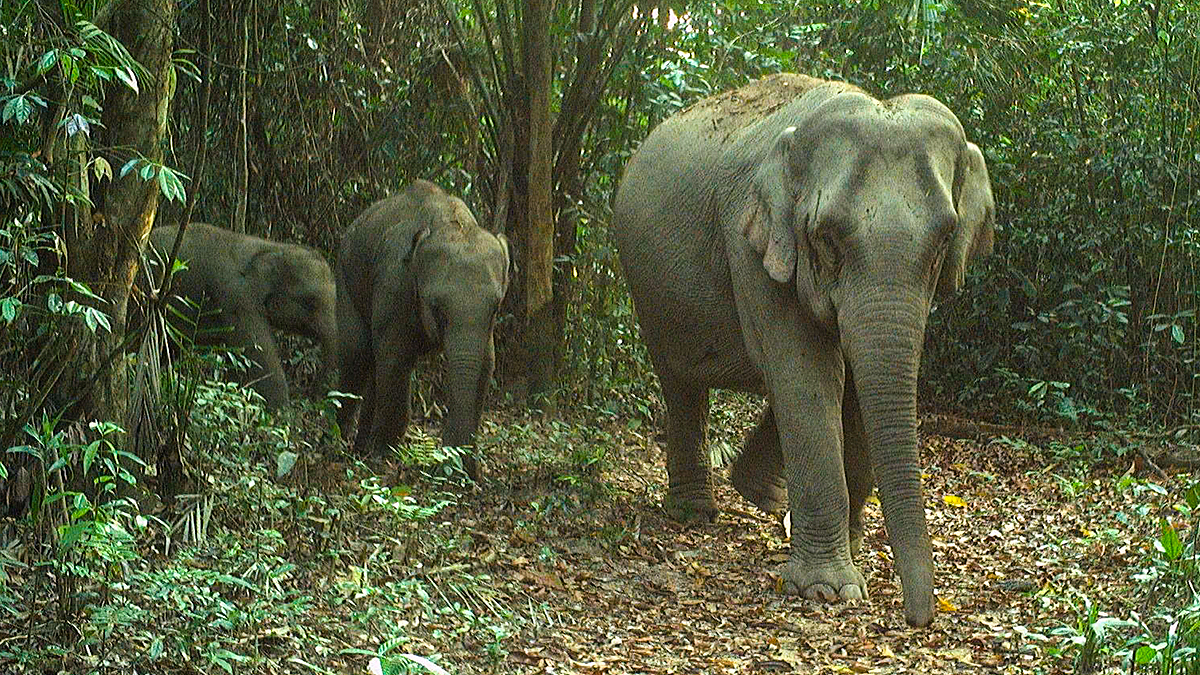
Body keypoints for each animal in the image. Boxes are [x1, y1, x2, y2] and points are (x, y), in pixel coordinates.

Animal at [142, 222, 338, 409]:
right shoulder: (237, 299)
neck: (271, 247)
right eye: (310, 301)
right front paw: (281, 412)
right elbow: (257, 355)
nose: (313, 396)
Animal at [335, 180, 510, 481]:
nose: (454, 466)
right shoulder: (394, 282)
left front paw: (468, 470)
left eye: (496, 307)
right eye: (436, 307)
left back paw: (361, 446)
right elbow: (395, 358)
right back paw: (343, 440)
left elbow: (486, 365)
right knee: (357, 354)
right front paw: (383, 455)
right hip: (347, 274)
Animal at [612, 73, 995, 628]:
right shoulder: (751, 244)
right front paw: (827, 590)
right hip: (650, 292)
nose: (919, 617)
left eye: (944, 240)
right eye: (827, 238)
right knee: (682, 384)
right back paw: (695, 513)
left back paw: (759, 492)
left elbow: (853, 382)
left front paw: (850, 554)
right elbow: (808, 375)